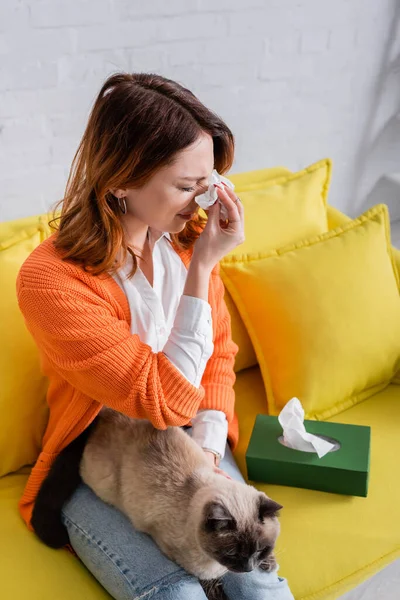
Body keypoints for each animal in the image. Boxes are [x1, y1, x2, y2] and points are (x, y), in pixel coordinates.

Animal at [32, 410, 282, 596]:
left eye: (260, 549)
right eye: (232, 553)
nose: (248, 568)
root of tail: (104, 415)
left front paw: (269, 563)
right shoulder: (185, 561)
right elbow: (210, 586)